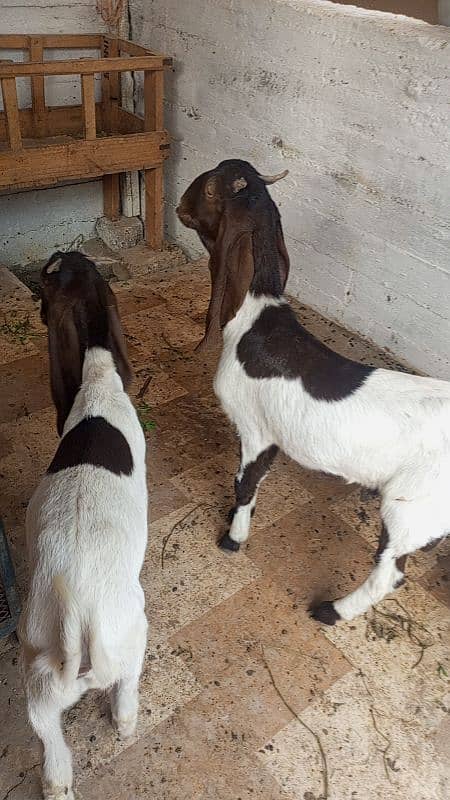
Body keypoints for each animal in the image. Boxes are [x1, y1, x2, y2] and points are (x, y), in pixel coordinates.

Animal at [178, 159, 450, 628]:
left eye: (210, 188)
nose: (178, 206)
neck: (256, 317)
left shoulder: (256, 431)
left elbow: (244, 484)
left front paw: (233, 537)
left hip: (411, 504)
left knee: (390, 573)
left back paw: (330, 611)